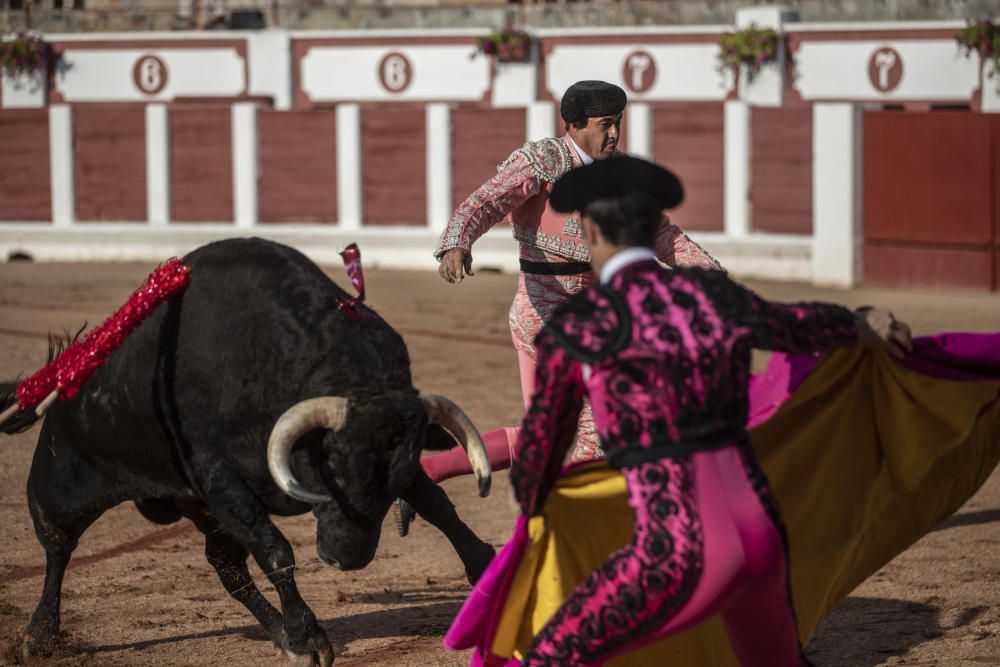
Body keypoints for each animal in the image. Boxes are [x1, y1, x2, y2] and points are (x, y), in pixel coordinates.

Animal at [1, 240, 498, 667]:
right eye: (332, 470)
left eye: (390, 480)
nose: (347, 558)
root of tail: (63, 373)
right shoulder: (219, 477)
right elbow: (275, 550)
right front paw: (310, 640)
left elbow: (437, 506)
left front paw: (486, 571)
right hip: (61, 487)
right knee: (58, 548)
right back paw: (39, 636)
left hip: (203, 512)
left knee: (229, 571)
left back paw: (280, 635)